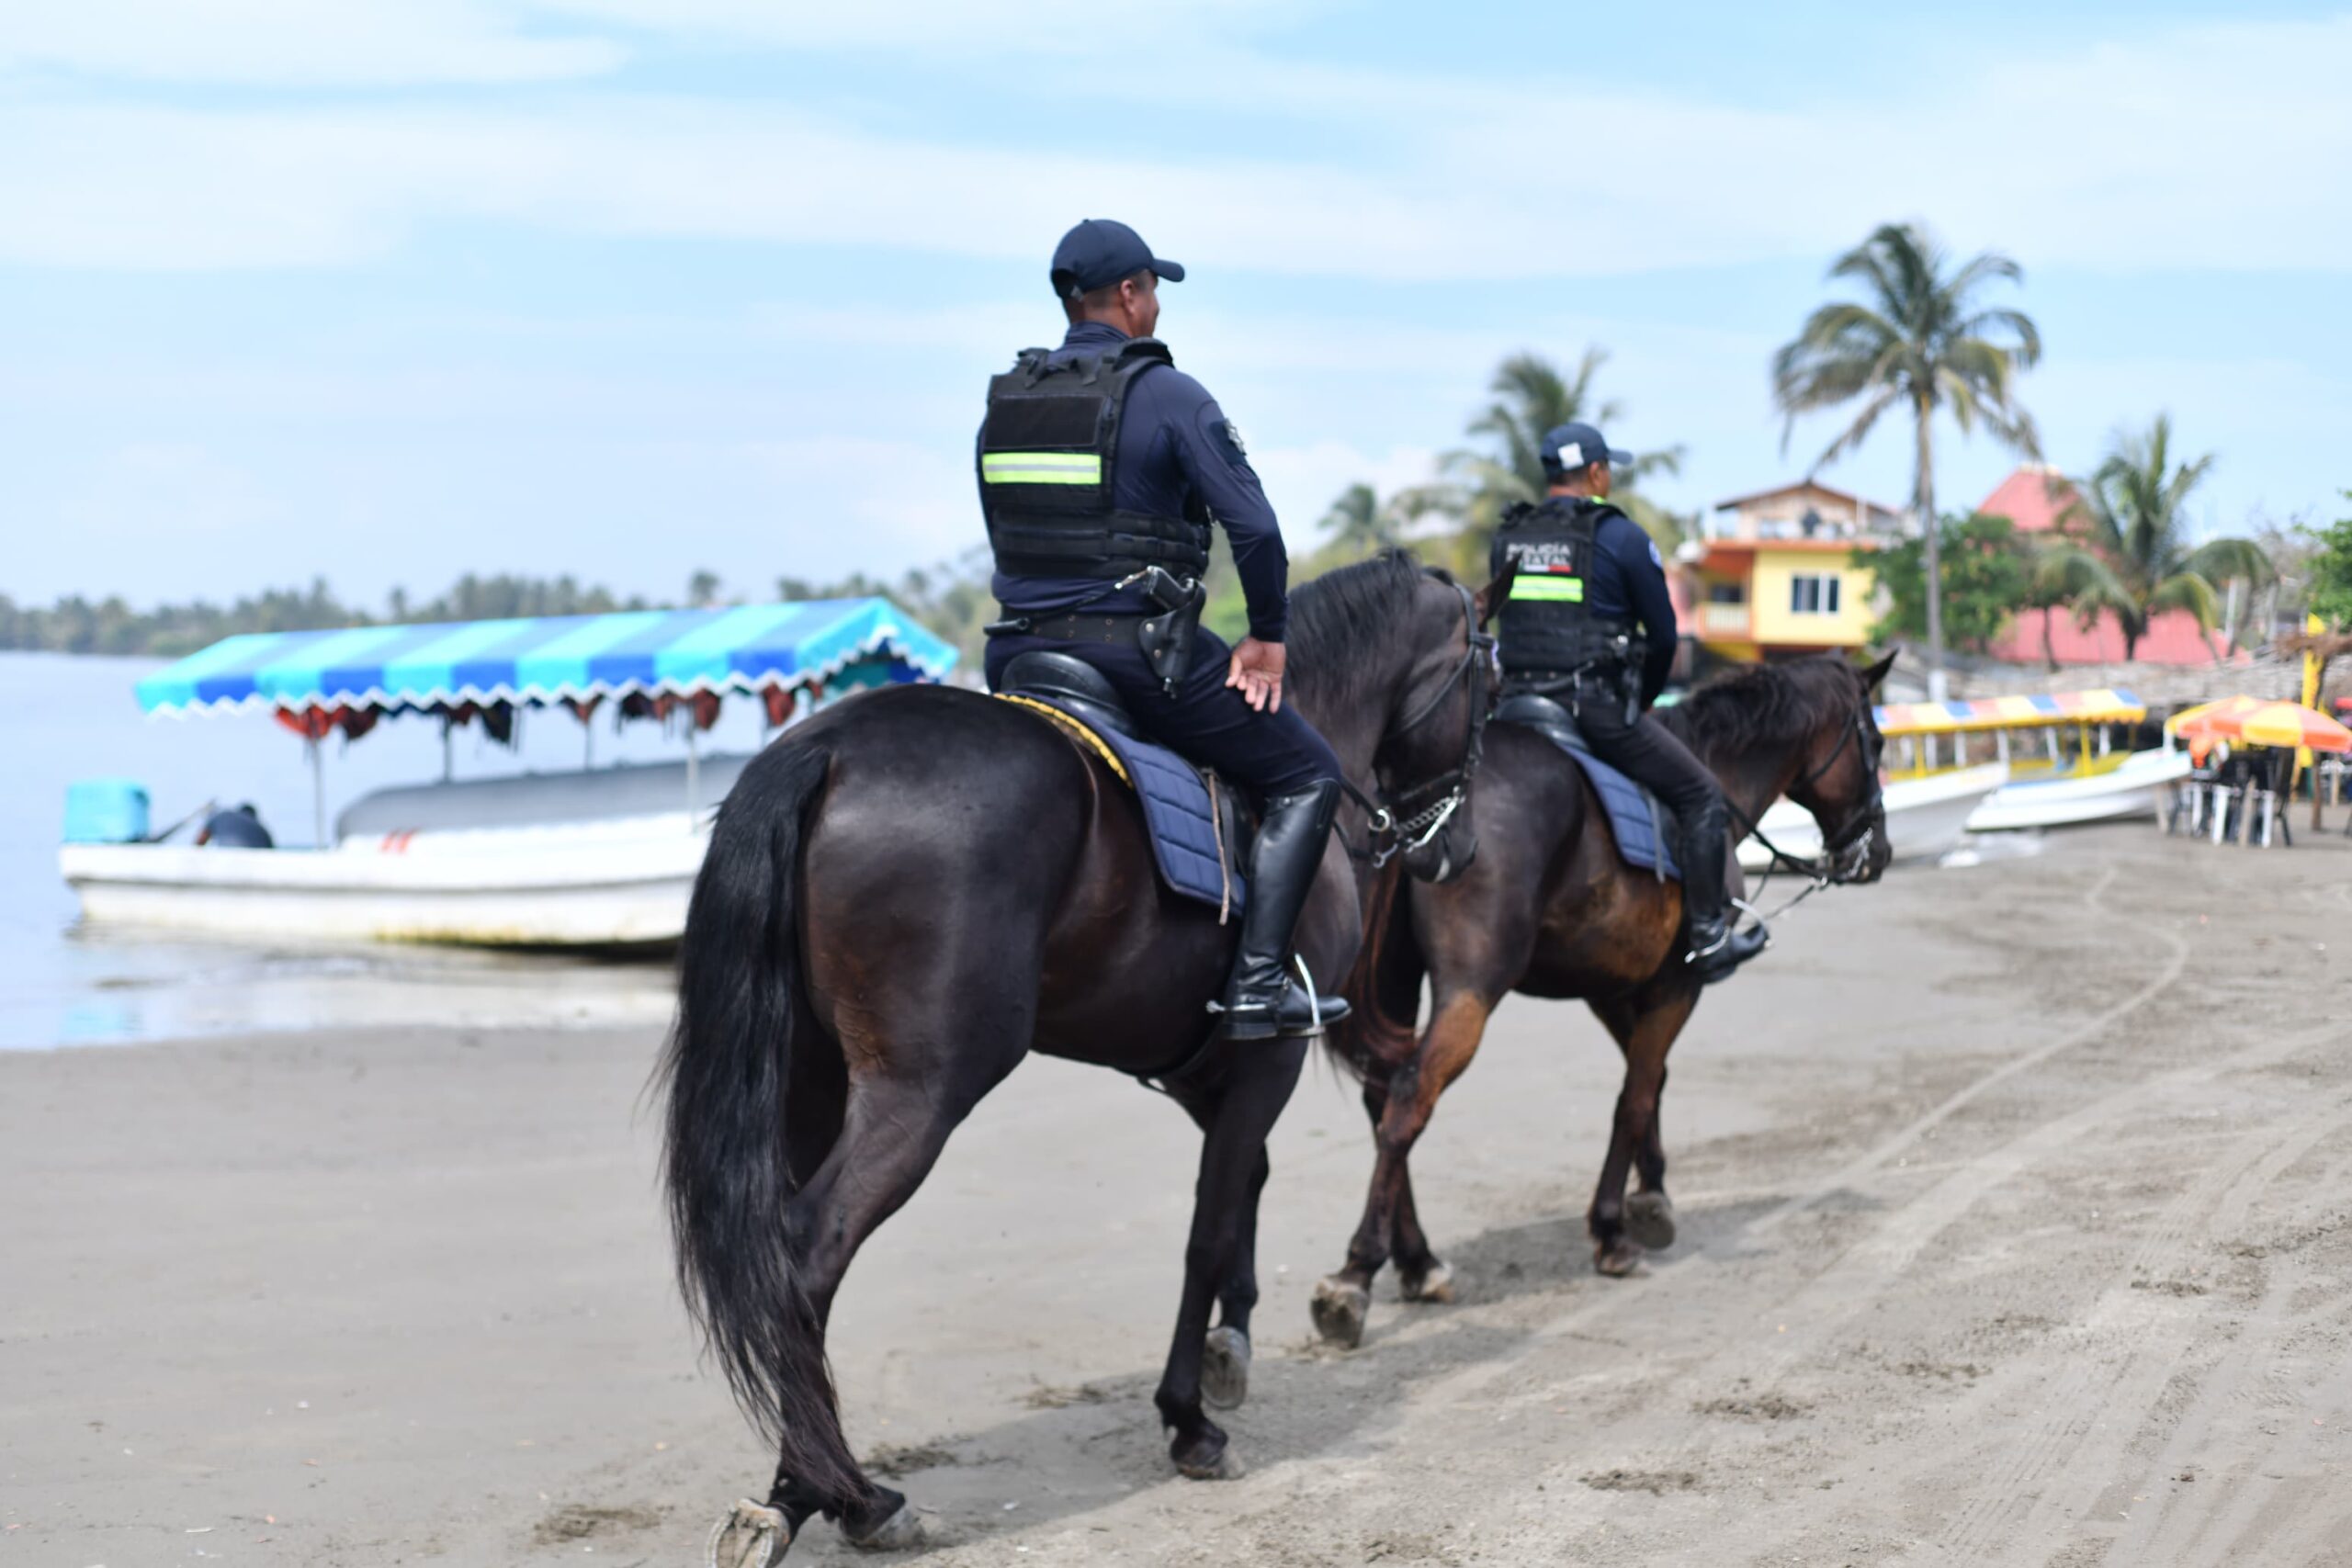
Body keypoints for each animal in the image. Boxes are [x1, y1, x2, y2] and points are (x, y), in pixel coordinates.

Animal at [661, 552, 1495, 1564]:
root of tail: (827, 748)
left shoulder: (1212, 1069)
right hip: (916, 1095)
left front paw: (1234, 1345)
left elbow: (1243, 1190)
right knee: (810, 1249)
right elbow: (1209, 1226)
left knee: (784, 1265)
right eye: (1488, 686)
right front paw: (1188, 1415)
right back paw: (841, 1495)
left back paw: (812, 1492)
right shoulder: (1268, 1058)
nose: (1453, 849)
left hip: (811, 1083)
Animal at [1310, 652, 1894, 1348]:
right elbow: (1635, 1097)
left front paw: (1653, 1194)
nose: (1878, 852)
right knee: (1407, 1101)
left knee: (1382, 1100)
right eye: (1877, 743)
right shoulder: (1677, 986)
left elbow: (1650, 1082)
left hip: (1398, 983)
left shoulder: (1612, 987)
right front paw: (1616, 1226)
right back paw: (1354, 1275)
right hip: (1472, 993)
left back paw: (1418, 1260)